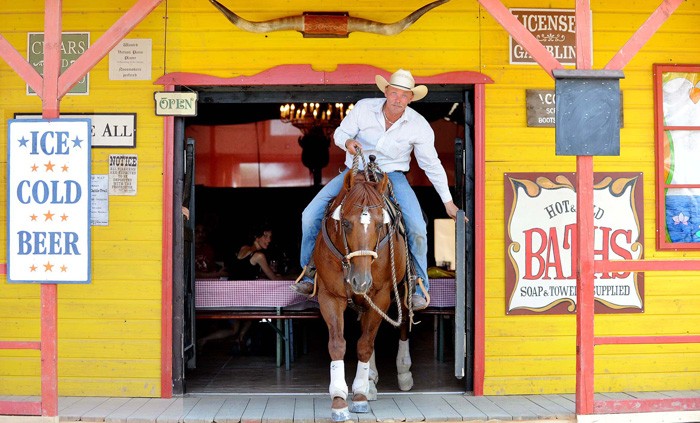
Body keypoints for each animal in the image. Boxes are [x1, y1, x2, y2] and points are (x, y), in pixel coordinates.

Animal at [314, 167, 416, 422]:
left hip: (402, 291)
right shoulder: (330, 296)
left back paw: (403, 372)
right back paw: (371, 379)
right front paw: (339, 399)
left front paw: (359, 395)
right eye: (346, 223)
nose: (361, 281)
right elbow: (338, 344)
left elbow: (365, 345)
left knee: (400, 326)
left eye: (380, 225)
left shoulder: (381, 296)